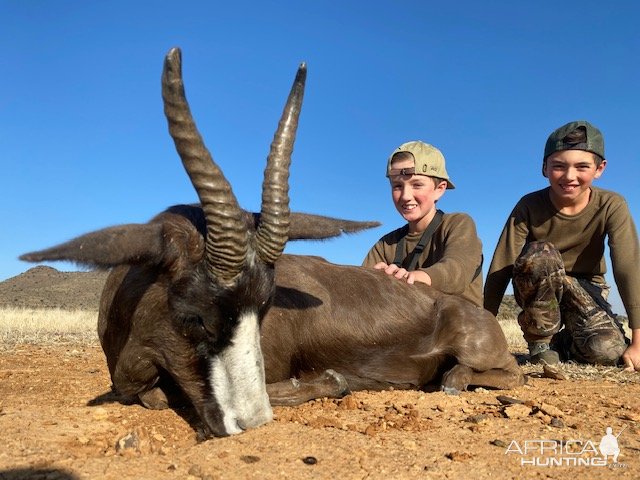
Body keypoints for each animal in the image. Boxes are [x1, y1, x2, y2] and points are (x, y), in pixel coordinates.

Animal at [22, 47, 524, 438]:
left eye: (264, 309)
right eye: (194, 316)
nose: (250, 421)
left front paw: (330, 381)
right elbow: (148, 395)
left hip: (481, 353)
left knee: (506, 374)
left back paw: (453, 379)